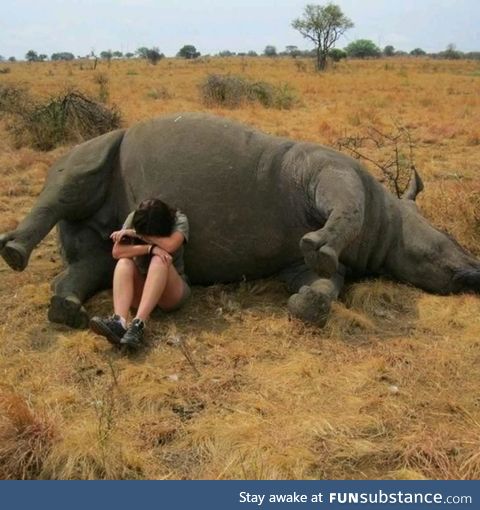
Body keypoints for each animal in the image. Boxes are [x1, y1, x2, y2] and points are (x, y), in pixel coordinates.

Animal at [0, 112, 480, 328]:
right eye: (449, 240)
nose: (473, 273)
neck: (388, 218)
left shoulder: (295, 264)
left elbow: (323, 282)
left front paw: (305, 305)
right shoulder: (330, 170)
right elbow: (344, 209)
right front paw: (318, 246)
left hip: (112, 234)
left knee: (97, 259)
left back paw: (65, 309)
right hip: (100, 145)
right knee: (75, 175)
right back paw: (14, 254)